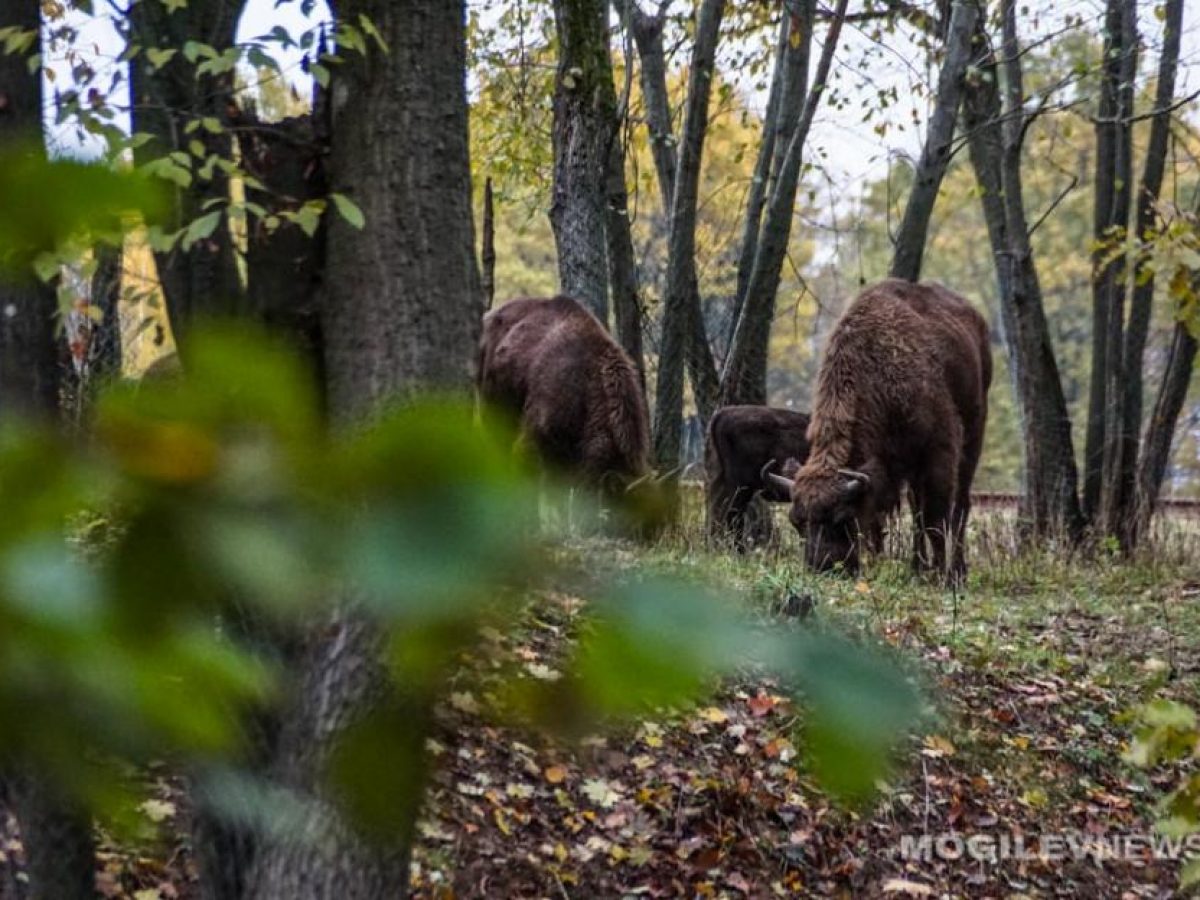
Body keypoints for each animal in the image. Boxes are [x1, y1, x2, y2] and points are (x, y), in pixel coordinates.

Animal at [768, 278, 993, 580]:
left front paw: (942, 577)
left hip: (973, 430)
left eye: (842, 518)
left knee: (960, 504)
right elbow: (894, 518)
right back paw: (918, 567)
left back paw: (955, 571)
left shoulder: (938, 450)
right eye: (795, 521)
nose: (822, 567)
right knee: (916, 506)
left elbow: (935, 518)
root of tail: (977, 320)